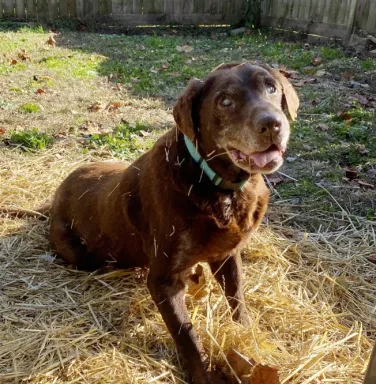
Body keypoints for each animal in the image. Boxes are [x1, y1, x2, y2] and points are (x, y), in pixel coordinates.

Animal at [48, 63, 298, 384]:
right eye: (225, 101)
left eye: (271, 88)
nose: (273, 124)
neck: (219, 187)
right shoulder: (163, 280)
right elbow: (186, 334)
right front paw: (203, 374)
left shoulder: (227, 254)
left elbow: (237, 299)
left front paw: (246, 334)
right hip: (79, 253)